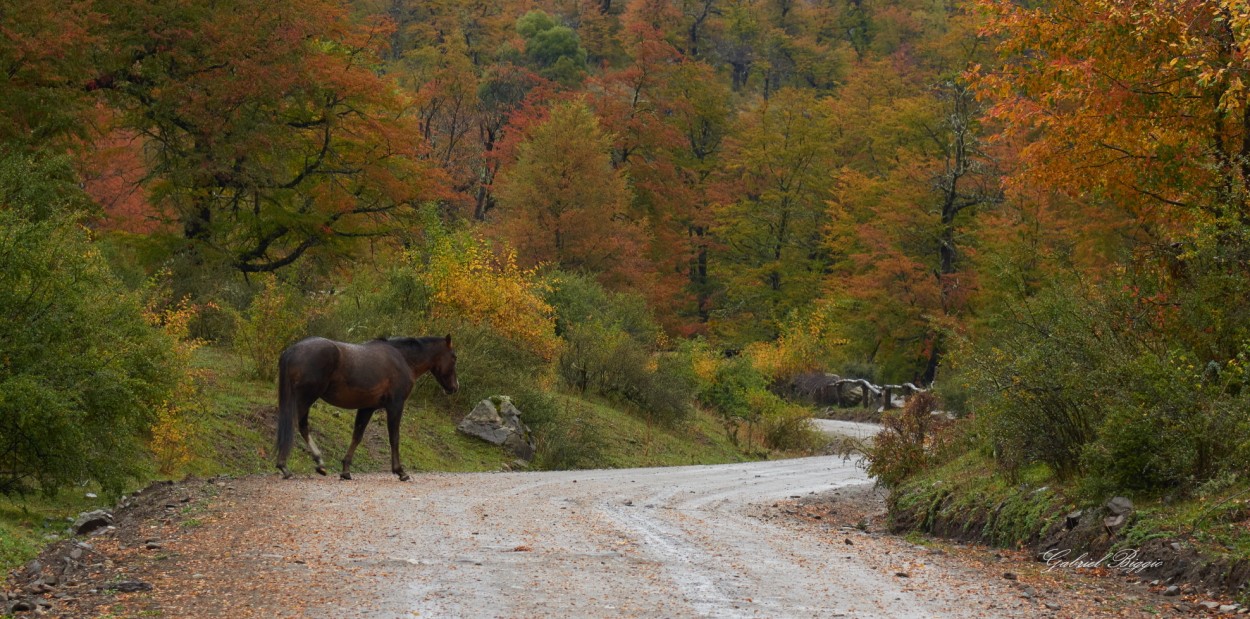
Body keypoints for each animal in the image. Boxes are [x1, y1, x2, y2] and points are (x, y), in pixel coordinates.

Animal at [273, 337, 460, 482]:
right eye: (454, 357)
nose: (455, 387)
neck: (403, 358)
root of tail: (291, 351)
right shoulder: (395, 405)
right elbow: (394, 438)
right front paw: (400, 471)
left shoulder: (367, 408)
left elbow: (357, 436)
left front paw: (345, 470)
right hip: (306, 398)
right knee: (296, 424)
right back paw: (286, 465)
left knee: (300, 426)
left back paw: (316, 463)